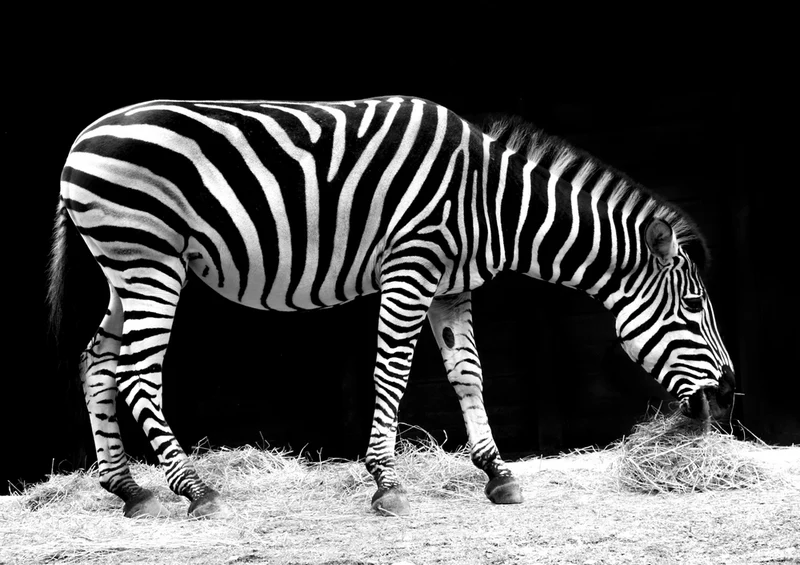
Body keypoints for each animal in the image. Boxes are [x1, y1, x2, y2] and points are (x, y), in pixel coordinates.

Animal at [48, 95, 736, 518]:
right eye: (693, 304)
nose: (728, 394)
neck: (492, 202)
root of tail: (82, 138)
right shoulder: (411, 267)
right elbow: (393, 375)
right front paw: (387, 482)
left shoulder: (451, 286)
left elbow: (468, 374)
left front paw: (497, 473)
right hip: (149, 258)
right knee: (136, 372)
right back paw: (196, 489)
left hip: (125, 267)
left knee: (95, 362)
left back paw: (129, 490)